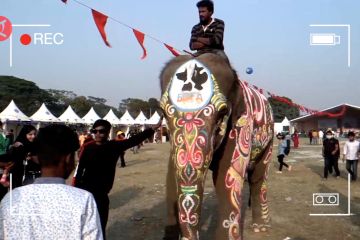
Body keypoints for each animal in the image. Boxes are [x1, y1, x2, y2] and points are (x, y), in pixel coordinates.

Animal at [160, 53, 272, 240]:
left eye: (222, 113)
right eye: (163, 113)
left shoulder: (241, 124)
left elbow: (225, 177)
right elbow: (170, 178)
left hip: (269, 139)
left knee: (258, 177)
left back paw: (260, 228)